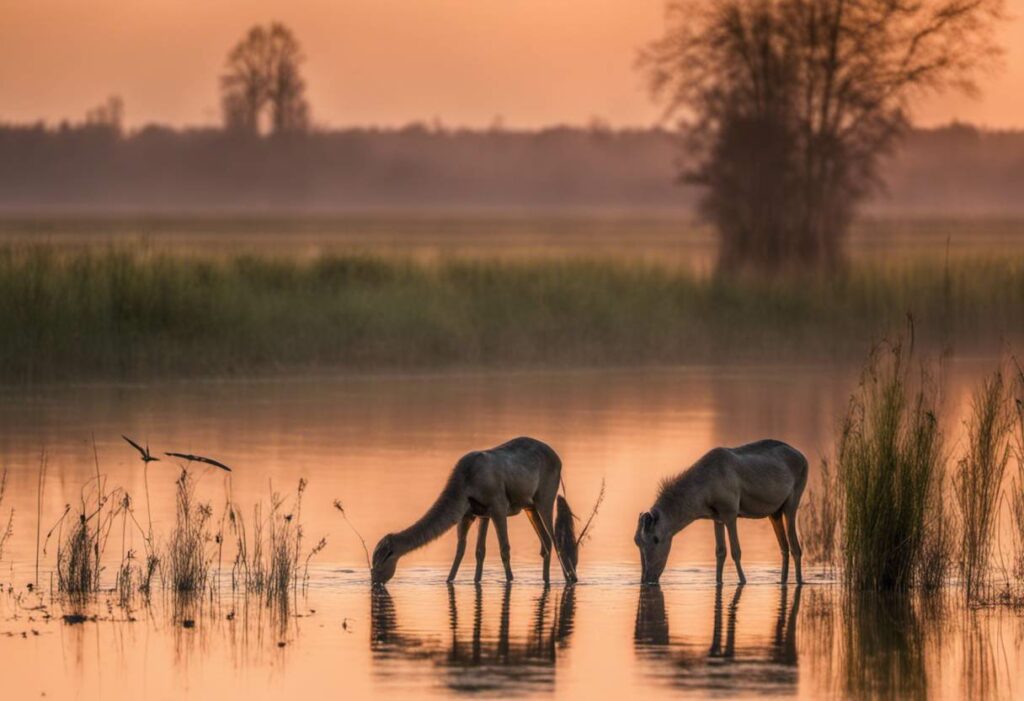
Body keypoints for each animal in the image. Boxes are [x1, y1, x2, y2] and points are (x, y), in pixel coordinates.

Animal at [370, 437, 581, 585]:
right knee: (545, 541)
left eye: (379, 562)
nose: (373, 582)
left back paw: (570, 578)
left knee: (555, 540)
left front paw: (510, 579)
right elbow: (471, 550)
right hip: (530, 507)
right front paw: (455, 579)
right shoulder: (474, 514)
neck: (466, 481)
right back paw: (548, 579)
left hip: (545, 500)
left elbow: (504, 548)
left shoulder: (498, 508)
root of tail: (558, 459)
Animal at [630, 437, 806, 585]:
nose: (647, 578)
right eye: (637, 541)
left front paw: (743, 581)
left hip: (792, 502)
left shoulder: (730, 513)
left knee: (795, 547)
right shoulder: (717, 517)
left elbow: (736, 551)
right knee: (784, 547)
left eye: (656, 539)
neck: (702, 497)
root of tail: (804, 458)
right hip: (774, 512)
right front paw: (718, 581)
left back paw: (799, 580)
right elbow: (720, 552)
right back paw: (783, 580)